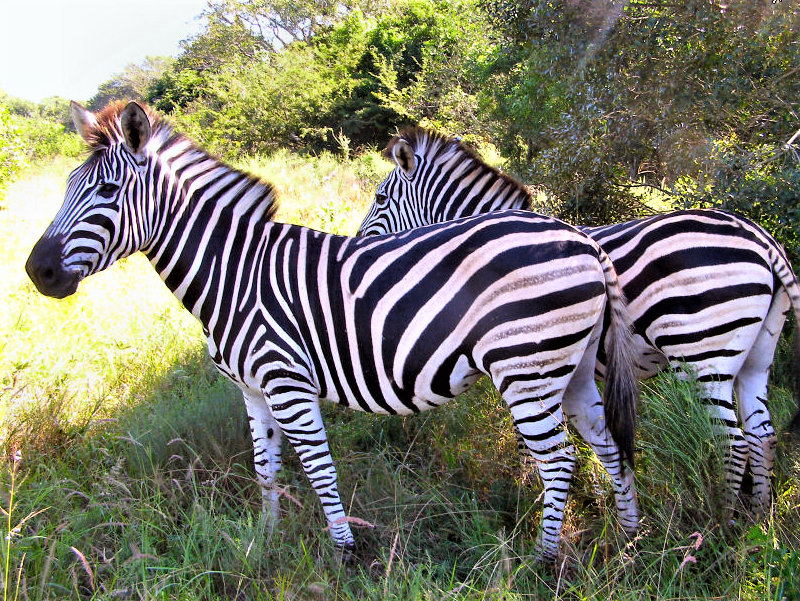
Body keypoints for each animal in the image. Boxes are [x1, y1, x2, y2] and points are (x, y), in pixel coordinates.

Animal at [25, 101, 641, 561]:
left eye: (106, 190)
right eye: (68, 185)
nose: (37, 272)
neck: (235, 274)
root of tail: (580, 239)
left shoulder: (287, 382)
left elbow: (318, 467)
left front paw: (344, 553)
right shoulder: (252, 389)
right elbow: (265, 470)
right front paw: (265, 545)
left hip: (527, 368)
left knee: (558, 461)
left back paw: (543, 559)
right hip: (573, 366)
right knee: (609, 443)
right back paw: (629, 537)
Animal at [357, 126, 800, 518]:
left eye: (380, 197)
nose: (360, 243)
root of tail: (762, 238)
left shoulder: (524, 359)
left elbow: (529, 441)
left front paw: (529, 493)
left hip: (705, 354)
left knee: (733, 443)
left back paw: (725, 522)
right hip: (756, 356)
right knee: (761, 434)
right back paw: (755, 522)